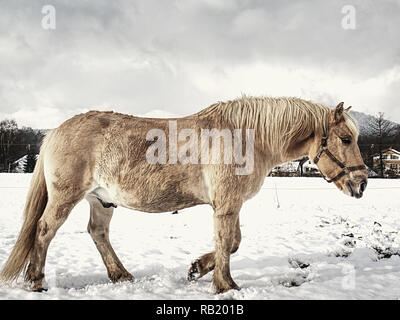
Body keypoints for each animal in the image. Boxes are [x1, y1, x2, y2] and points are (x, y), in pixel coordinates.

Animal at [0, 96, 368, 294]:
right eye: (346, 139)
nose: (362, 182)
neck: (245, 138)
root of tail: (55, 131)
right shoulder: (226, 205)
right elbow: (226, 241)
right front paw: (225, 285)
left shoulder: (229, 205)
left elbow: (232, 243)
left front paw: (198, 268)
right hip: (66, 196)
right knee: (44, 230)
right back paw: (36, 280)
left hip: (101, 200)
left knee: (97, 232)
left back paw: (120, 275)